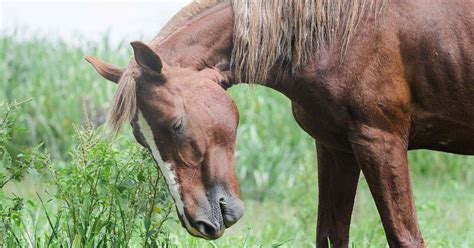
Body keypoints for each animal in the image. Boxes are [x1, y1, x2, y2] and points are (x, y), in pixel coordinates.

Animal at [86, 0, 474, 247]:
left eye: (176, 125)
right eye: (141, 139)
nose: (198, 223)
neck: (339, 33)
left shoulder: (380, 142)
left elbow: (404, 237)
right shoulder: (336, 148)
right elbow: (330, 235)